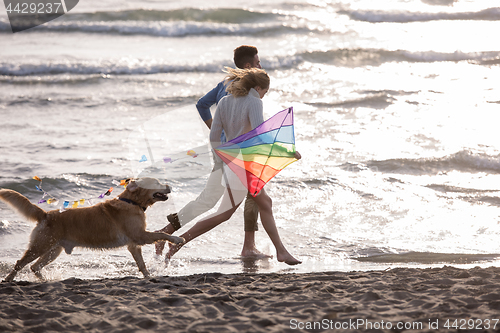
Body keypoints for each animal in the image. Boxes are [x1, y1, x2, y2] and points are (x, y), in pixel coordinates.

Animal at [0, 176, 184, 280]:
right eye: (156, 183)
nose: (170, 186)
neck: (132, 202)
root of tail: (46, 214)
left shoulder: (134, 244)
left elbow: (142, 264)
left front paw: (148, 276)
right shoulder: (140, 235)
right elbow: (161, 233)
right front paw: (177, 238)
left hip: (53, 250)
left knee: (34, 267)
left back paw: (45, 281)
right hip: (40, 246)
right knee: (20, 263)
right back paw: (8, 279)